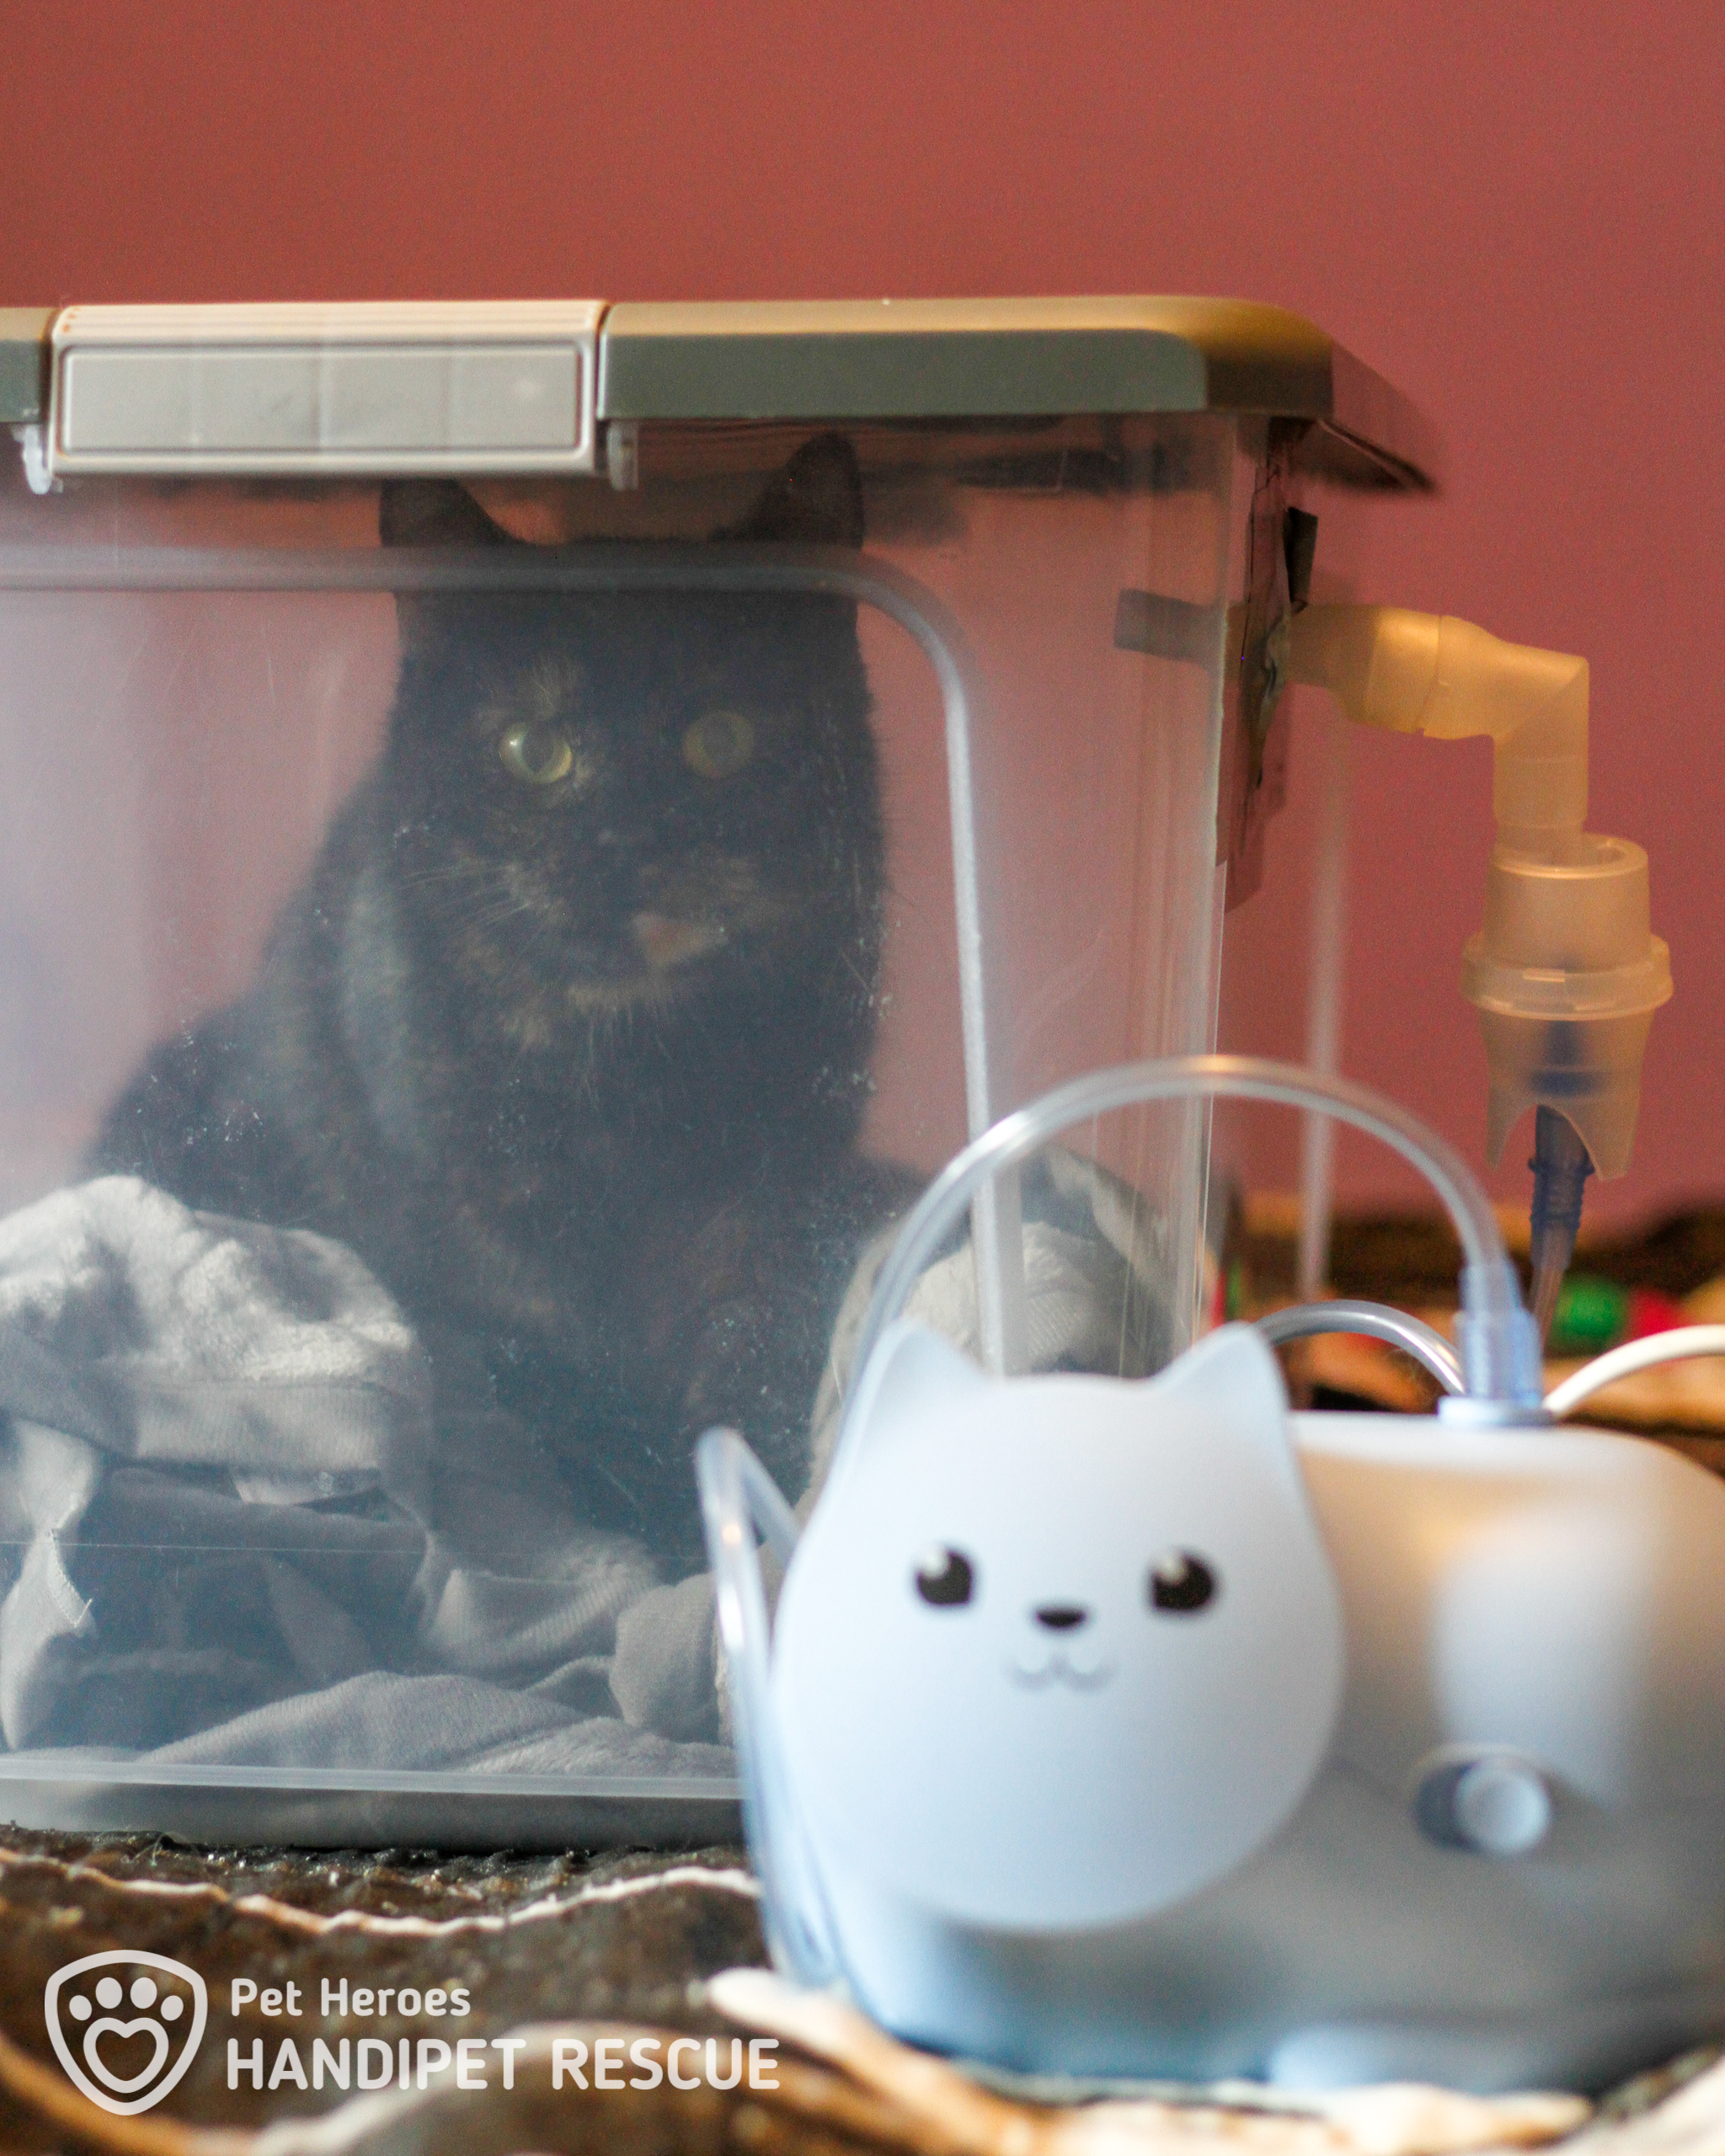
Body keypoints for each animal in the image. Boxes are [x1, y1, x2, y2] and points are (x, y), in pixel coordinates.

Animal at [90, 436, 910, 1569]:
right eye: (535, 750)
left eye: (721, 738)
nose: (627, 843)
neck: (634, 1066)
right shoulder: (470, 1226)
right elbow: (556, 1358)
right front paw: (651, 1511)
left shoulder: (776, 1191)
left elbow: (747, 1342)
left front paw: (733, 1508)